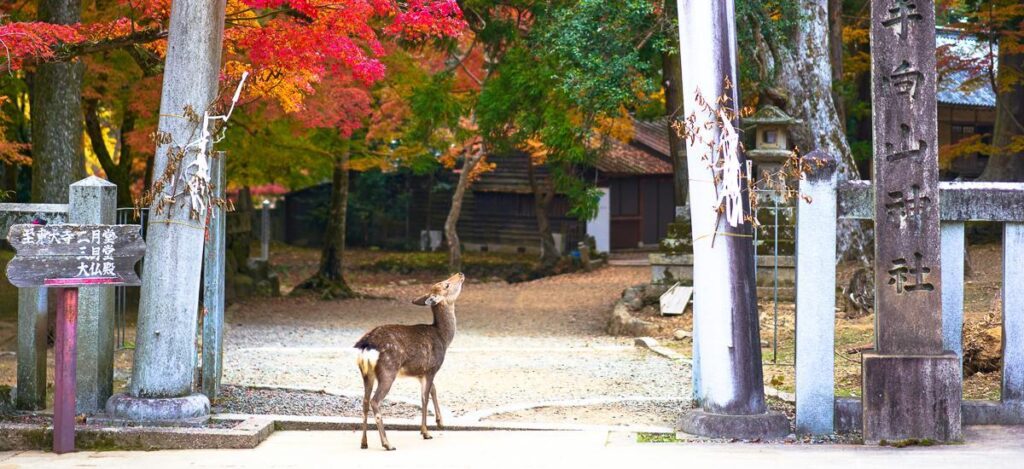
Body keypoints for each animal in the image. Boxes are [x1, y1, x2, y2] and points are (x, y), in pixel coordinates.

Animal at [354, 272, 464, 451]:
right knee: (375, 401)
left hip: (365, 373)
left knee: (364, 401)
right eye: (446, 284)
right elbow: (424, 398)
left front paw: (440, 422)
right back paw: (387, 443)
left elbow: (433, 390)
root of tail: (366, 345)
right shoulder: (432, 368)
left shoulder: (421, 372)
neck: (443, 337)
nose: (460, 274)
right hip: (388, 370)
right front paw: (426, 432)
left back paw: (364, 443)